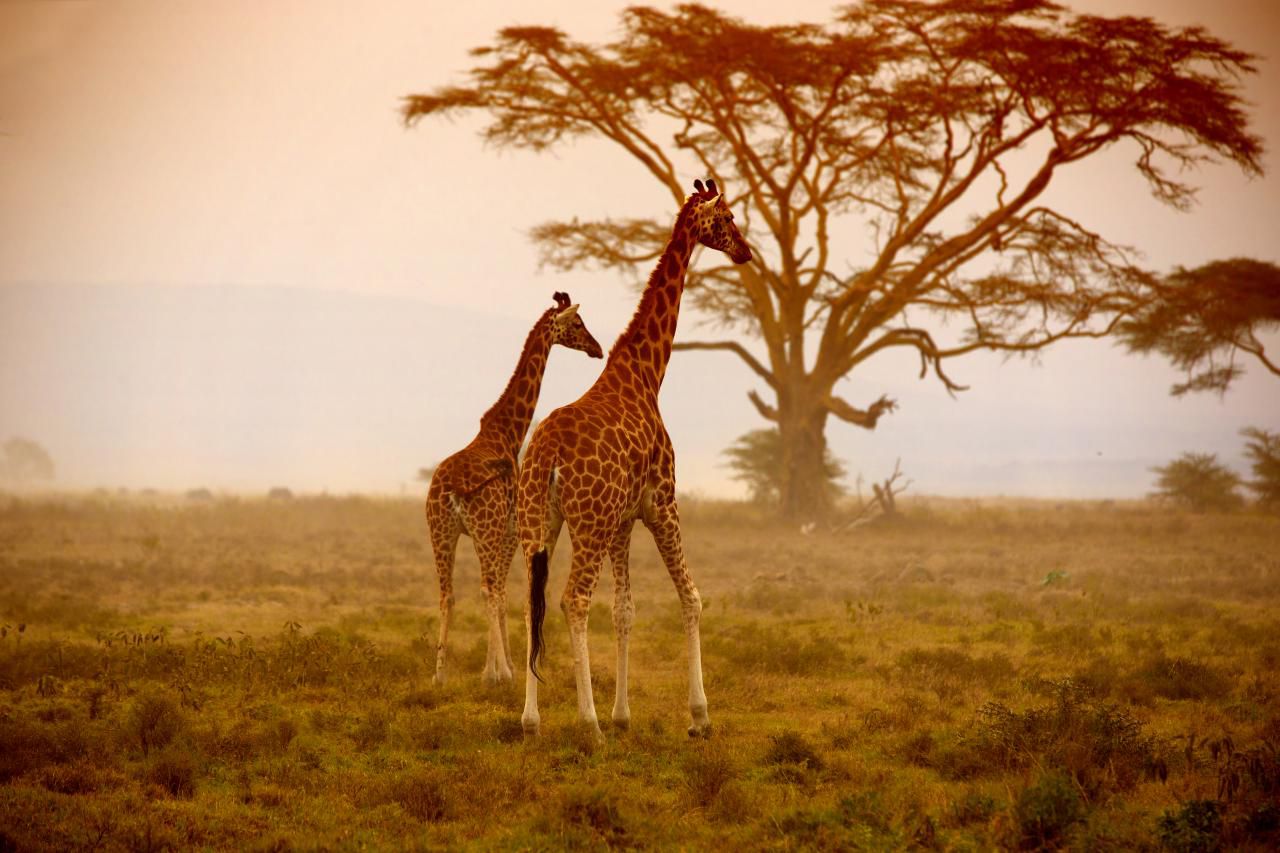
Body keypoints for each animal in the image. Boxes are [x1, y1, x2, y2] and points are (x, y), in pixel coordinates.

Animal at [422, 292, 596, 686]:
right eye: (578, 324)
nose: (598, 349)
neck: (508, 433)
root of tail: (451, 491)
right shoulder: (510, 531)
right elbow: (501, 593)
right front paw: (501, 669)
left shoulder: (501, 532)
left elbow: (497, 593)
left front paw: (497, 666)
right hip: (482, 531)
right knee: (488, 589)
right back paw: (497, 673)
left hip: (440, 532)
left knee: (447, 595)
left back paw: (440, 675)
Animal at [512, 179, 747, 737]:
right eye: (727, 218)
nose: (747, 253)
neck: (646, 373)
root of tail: (546, 455)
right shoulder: (662, 502)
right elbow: (691, 597)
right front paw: (699, 717)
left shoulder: (622, 521)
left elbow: (624, 611)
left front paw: (623, 715)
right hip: (588, 523)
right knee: (573, 599)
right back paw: (588, 724)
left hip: (539, 521)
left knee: (532, 601)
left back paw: (531, 721)